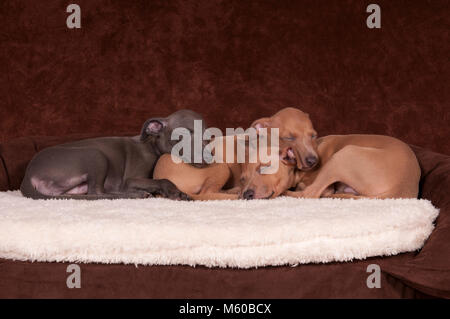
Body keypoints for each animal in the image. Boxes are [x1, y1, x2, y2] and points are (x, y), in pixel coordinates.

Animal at [19, 110, 206, 200]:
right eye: (184, 134)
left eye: (207, 136)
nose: (208, 159)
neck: (152, 147)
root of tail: (27, 175)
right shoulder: (129, 180)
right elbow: (163, 179)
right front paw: (175, 192)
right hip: (95, 155)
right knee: (97, 192)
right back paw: (136, 195)